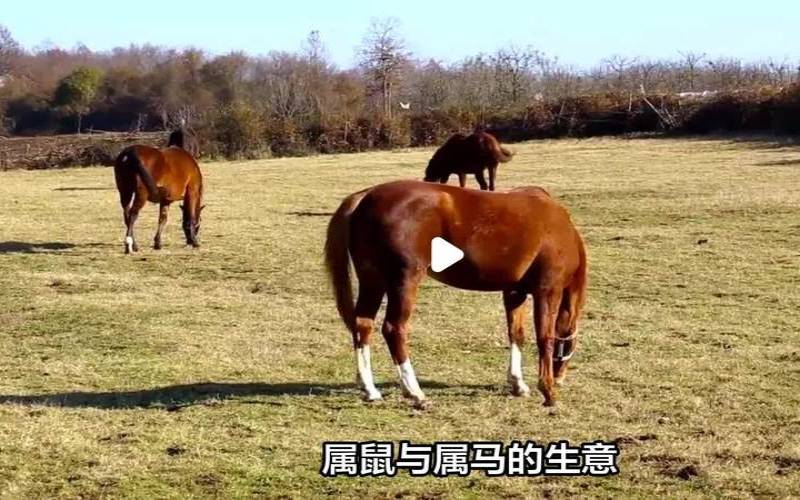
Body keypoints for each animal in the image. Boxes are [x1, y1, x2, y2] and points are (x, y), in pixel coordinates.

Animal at [325, 180, 587, 408]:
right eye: (571, 343)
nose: (560, 377)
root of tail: (366, 196)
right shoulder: (547, 290)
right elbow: (545, 338)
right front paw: (548, 391)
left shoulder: (514, 292)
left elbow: (516, 334)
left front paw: (518, 384)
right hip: (404, 282)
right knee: (393, 329)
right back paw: (415, 393)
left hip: (373, 281)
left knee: (363, 325)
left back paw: (370, 390)